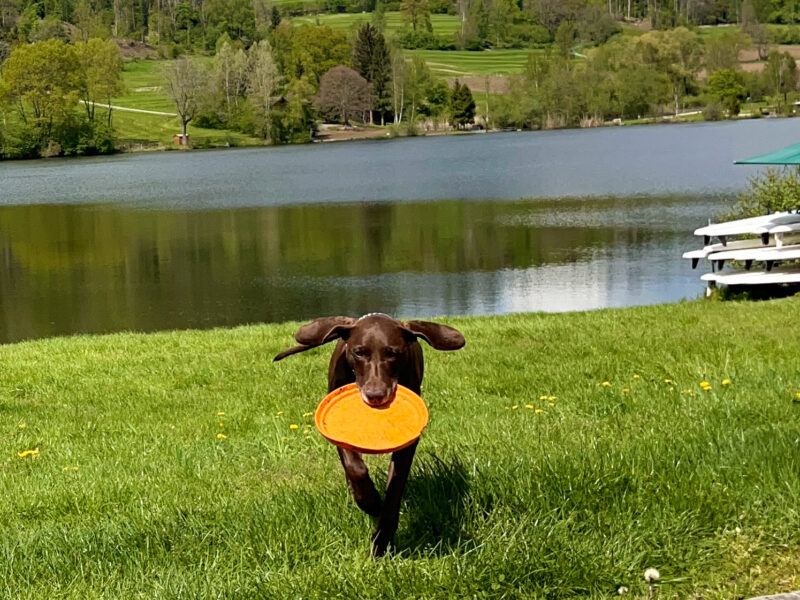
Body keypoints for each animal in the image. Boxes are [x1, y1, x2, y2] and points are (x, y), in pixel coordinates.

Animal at [276, 316, 466, 556]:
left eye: (393, 353)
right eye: (359, 352)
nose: (375, 395)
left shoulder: (408, 443)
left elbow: (394, 490)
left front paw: (382, 541)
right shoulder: (337, 431)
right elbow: (355, 467)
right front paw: (371, 501)